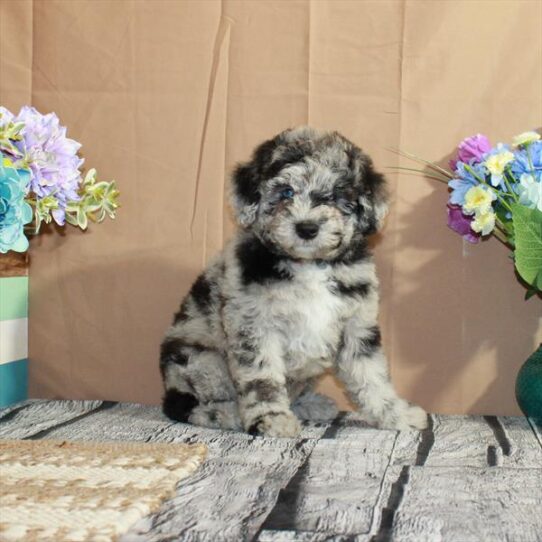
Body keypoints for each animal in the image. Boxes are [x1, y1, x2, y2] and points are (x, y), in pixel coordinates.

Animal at [159, 126, 432, 438]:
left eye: (336, 196)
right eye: (286, 192)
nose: (307, 228)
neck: (309, 264)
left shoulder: (357, 324)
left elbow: (372, 376)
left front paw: (397, 414)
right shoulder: (254, 325)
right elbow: (262, 379)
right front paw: (272, 419)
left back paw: (311, 404)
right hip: (202, 363)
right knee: (187, 406)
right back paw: (229, 414)